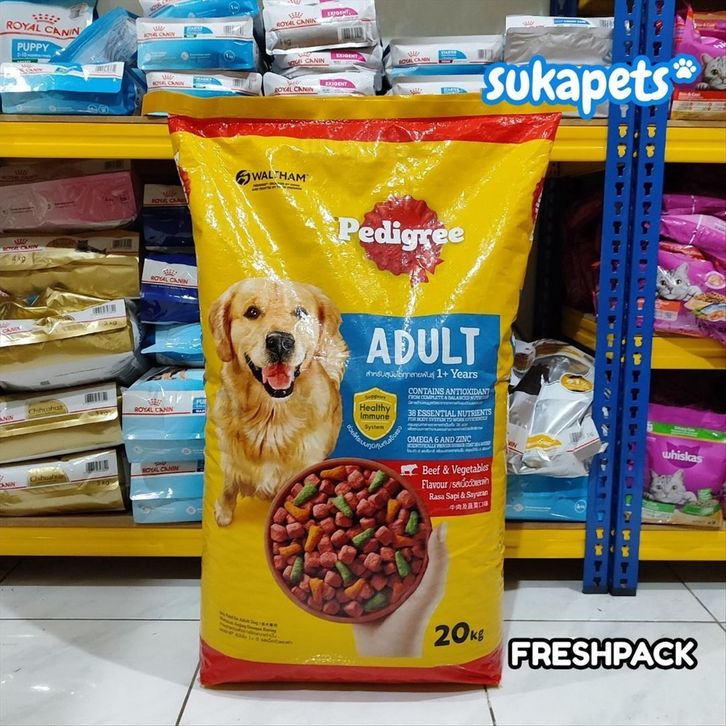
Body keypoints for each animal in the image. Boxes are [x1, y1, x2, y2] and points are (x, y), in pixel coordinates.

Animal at [208, 278, 349, 526]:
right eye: (252, 312)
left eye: (300, 312)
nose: (281, 342)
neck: (271, 416)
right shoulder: (230, 459)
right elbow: (228, 486)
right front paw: (223, 513)